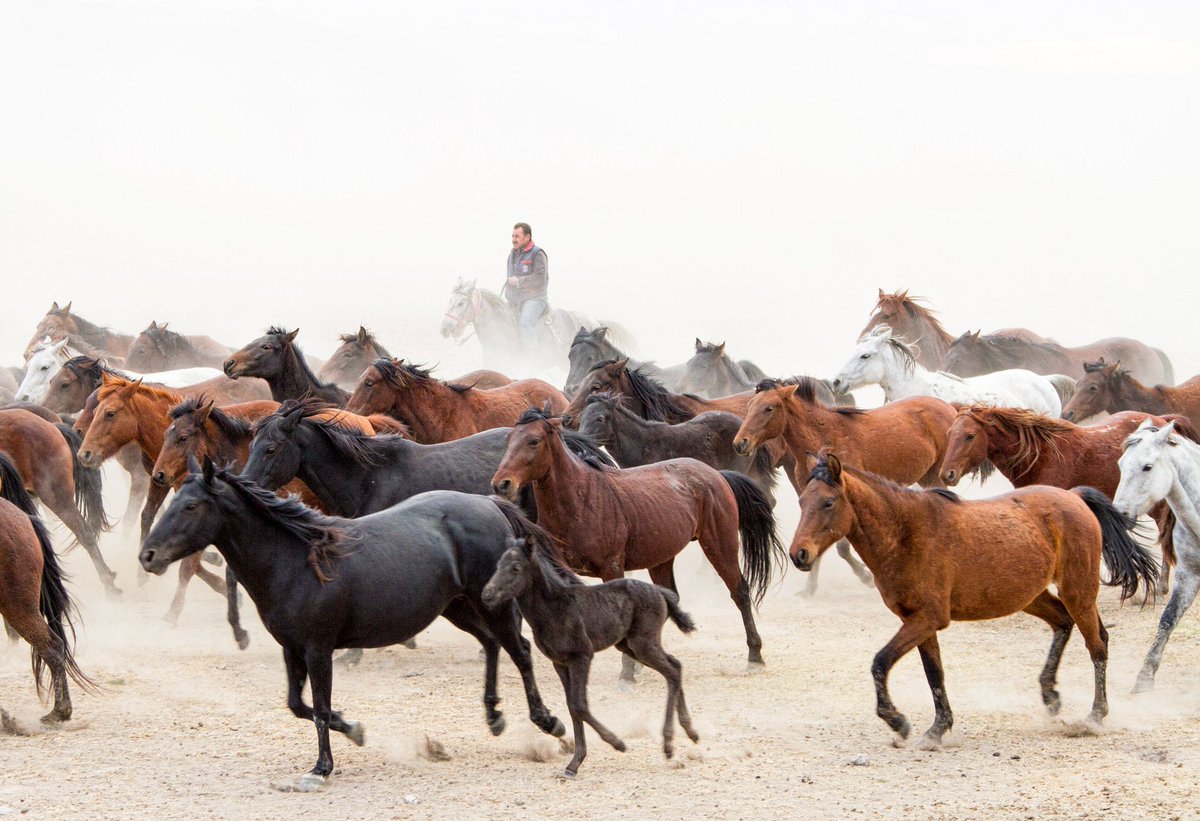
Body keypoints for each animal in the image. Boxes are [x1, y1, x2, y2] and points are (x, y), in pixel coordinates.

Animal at [139, 460, 566, 791]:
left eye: (190, 505)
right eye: (174, 501)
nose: (148, 555)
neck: (297, 561)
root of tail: (489, 503)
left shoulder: (318, 649)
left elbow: (320, 708)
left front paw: (320, 769)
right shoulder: (291, 647)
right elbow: (298, 705)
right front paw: (356, 729)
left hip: (490, 602)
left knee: (520, 651)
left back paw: (550, 724)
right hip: (457, 607)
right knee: (492, 644)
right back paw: (494, 717)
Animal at [483, 534, 699, 777]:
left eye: (515, 568)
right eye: (497, 565)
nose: (486, 594)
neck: (553, 608)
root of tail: (661, 592)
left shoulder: (581, 656)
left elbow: (579, 705)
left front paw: (616, 743)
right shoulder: (560, 663)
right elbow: (571, 706)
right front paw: (574, 764)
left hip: (642, 644)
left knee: (672, 671)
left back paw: (669, 745)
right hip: (630, 646)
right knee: (675, 665)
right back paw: (690, 730)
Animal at [491, 407, 784, 674]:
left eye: (534, 441)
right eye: (509, 439)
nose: (501, 484)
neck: (581, 499)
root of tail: (717, 475)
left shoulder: (612, 568)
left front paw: (627, 672)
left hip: (720, 545)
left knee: (740, 591)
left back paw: (754, 656)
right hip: (661, 558)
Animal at [790, 449, 1157, 749]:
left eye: (828, 503)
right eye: (801, 502)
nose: (799, 555)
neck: (906, 533)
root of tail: (1075, 498)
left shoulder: (927, 618)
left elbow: (881, 662)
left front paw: (898, 721)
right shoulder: (919, 621)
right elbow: (934, 674)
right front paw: (937, 729)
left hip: (1077, 591)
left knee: (1097, 644)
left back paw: (1095, 716)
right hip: (1030, 596)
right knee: (1063, 624)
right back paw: (1050, 694)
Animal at [1114, 420, 1200, 693]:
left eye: (1147, 466)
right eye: (1121, 465)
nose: (1119, 513)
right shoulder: (1188, 576)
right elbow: (1168, 619)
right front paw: (1144, 676)